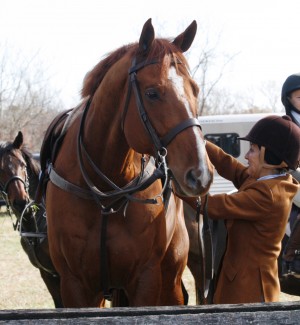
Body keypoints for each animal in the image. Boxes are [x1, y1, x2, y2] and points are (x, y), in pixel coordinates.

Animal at [40, 18, 213, 306]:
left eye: (195, 90)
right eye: (152, 93)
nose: (200, 173)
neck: (104, 193)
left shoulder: (146, 279)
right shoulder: (76, 285)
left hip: (171, 282)